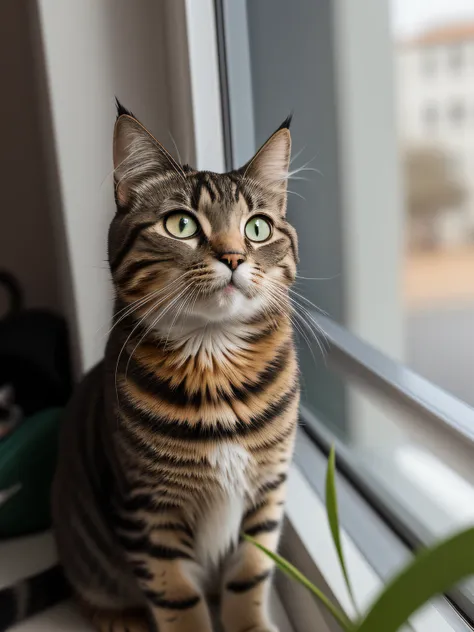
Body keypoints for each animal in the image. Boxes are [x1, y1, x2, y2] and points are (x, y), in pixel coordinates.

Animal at [0, 105, 300, 632]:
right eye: (181, 224)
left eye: (258, 228)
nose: (233, 256)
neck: (214, 361)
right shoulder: (146, 511)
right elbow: (178, 602)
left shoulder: (267, 492)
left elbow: (249, 576)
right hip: (88, 549)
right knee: (88, 591)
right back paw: (120, 618)